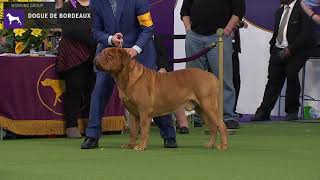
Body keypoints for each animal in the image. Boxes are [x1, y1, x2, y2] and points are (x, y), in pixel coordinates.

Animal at [95, 47, 228, 150]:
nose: (96, 57)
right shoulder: (132, 113)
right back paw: (209, 145)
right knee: (213, 127)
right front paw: (130, 145)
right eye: (102, 53)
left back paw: (223, 146)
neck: (126, 78)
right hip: (202, 109)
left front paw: (141, 146)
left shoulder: (144, 112)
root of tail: (212, 76)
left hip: (209, 106)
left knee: (221, 125)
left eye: (109, 56)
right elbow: (133, 132)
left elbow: (144, 131)